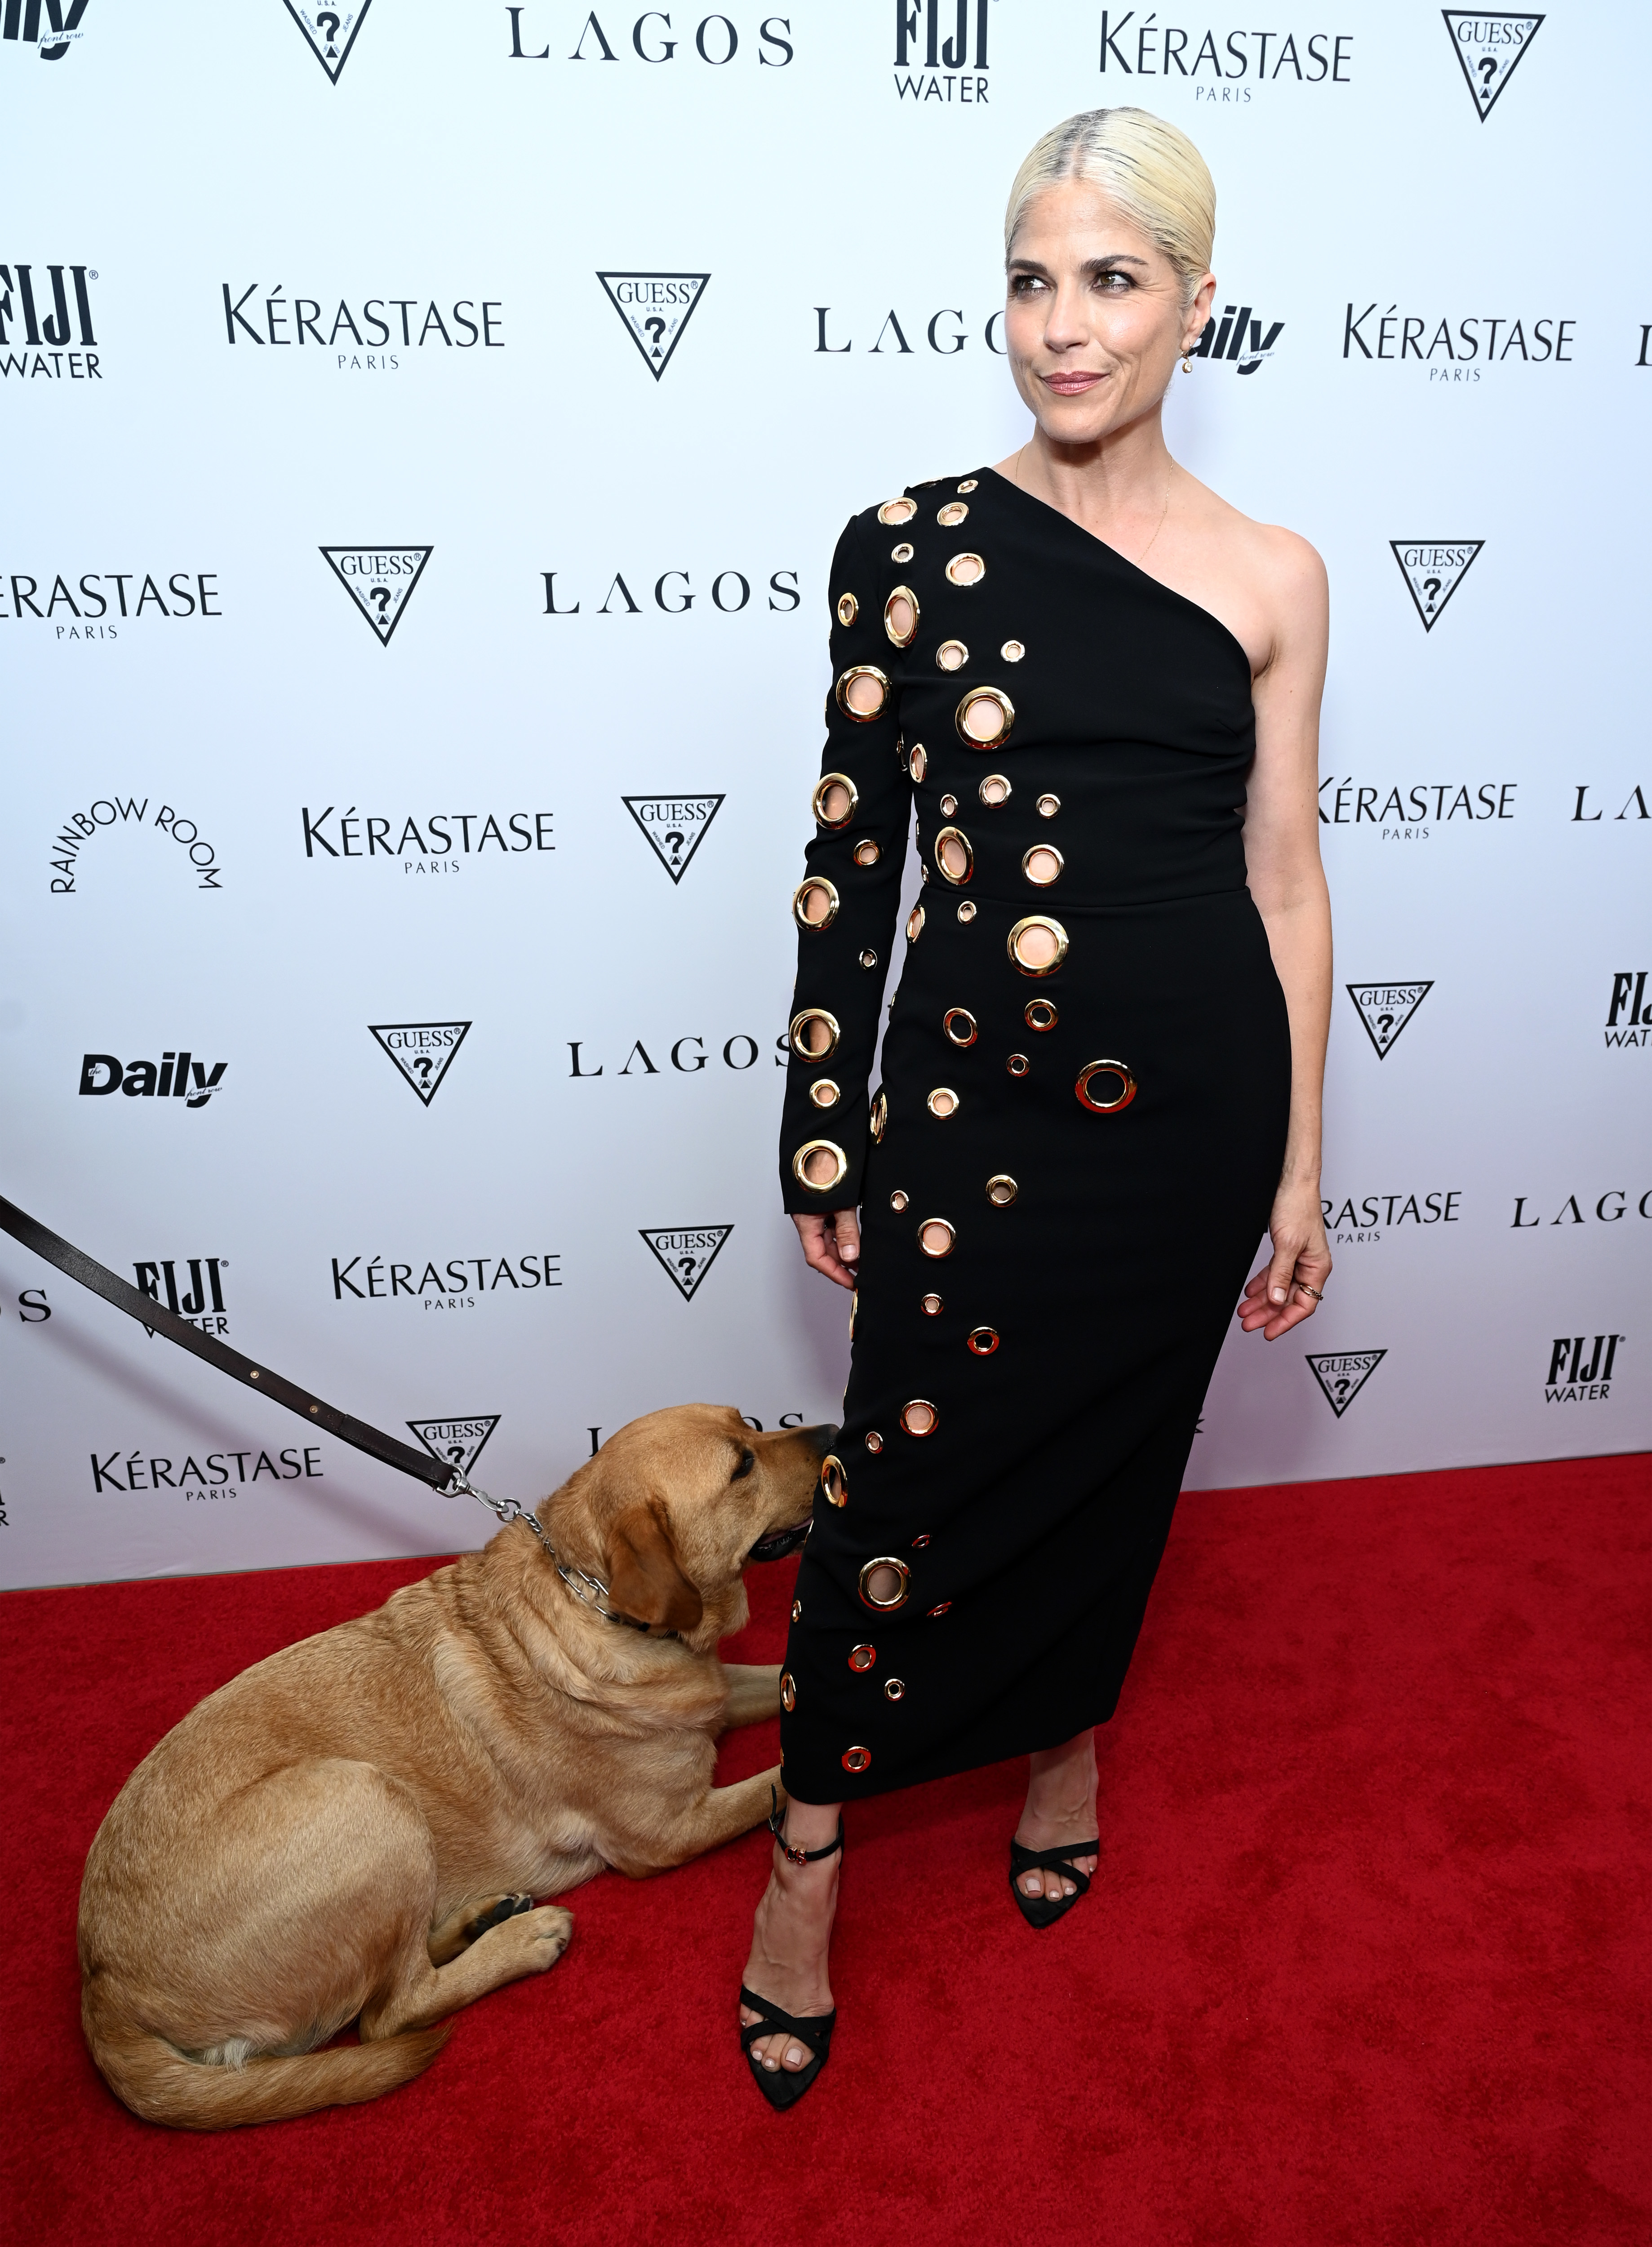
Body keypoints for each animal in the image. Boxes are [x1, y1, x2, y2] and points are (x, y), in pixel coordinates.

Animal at [79, 1402, 831, 2121]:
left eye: (748, 1424)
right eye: (741, 1466)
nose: (834, 1431)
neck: (593, 1598)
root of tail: (103, 1987)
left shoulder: (723, 1698)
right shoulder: (668, 1834)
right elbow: (777, 1782)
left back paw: (482, 1918)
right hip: (365, 1799)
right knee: (390, 2012)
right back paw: (522, 1940)